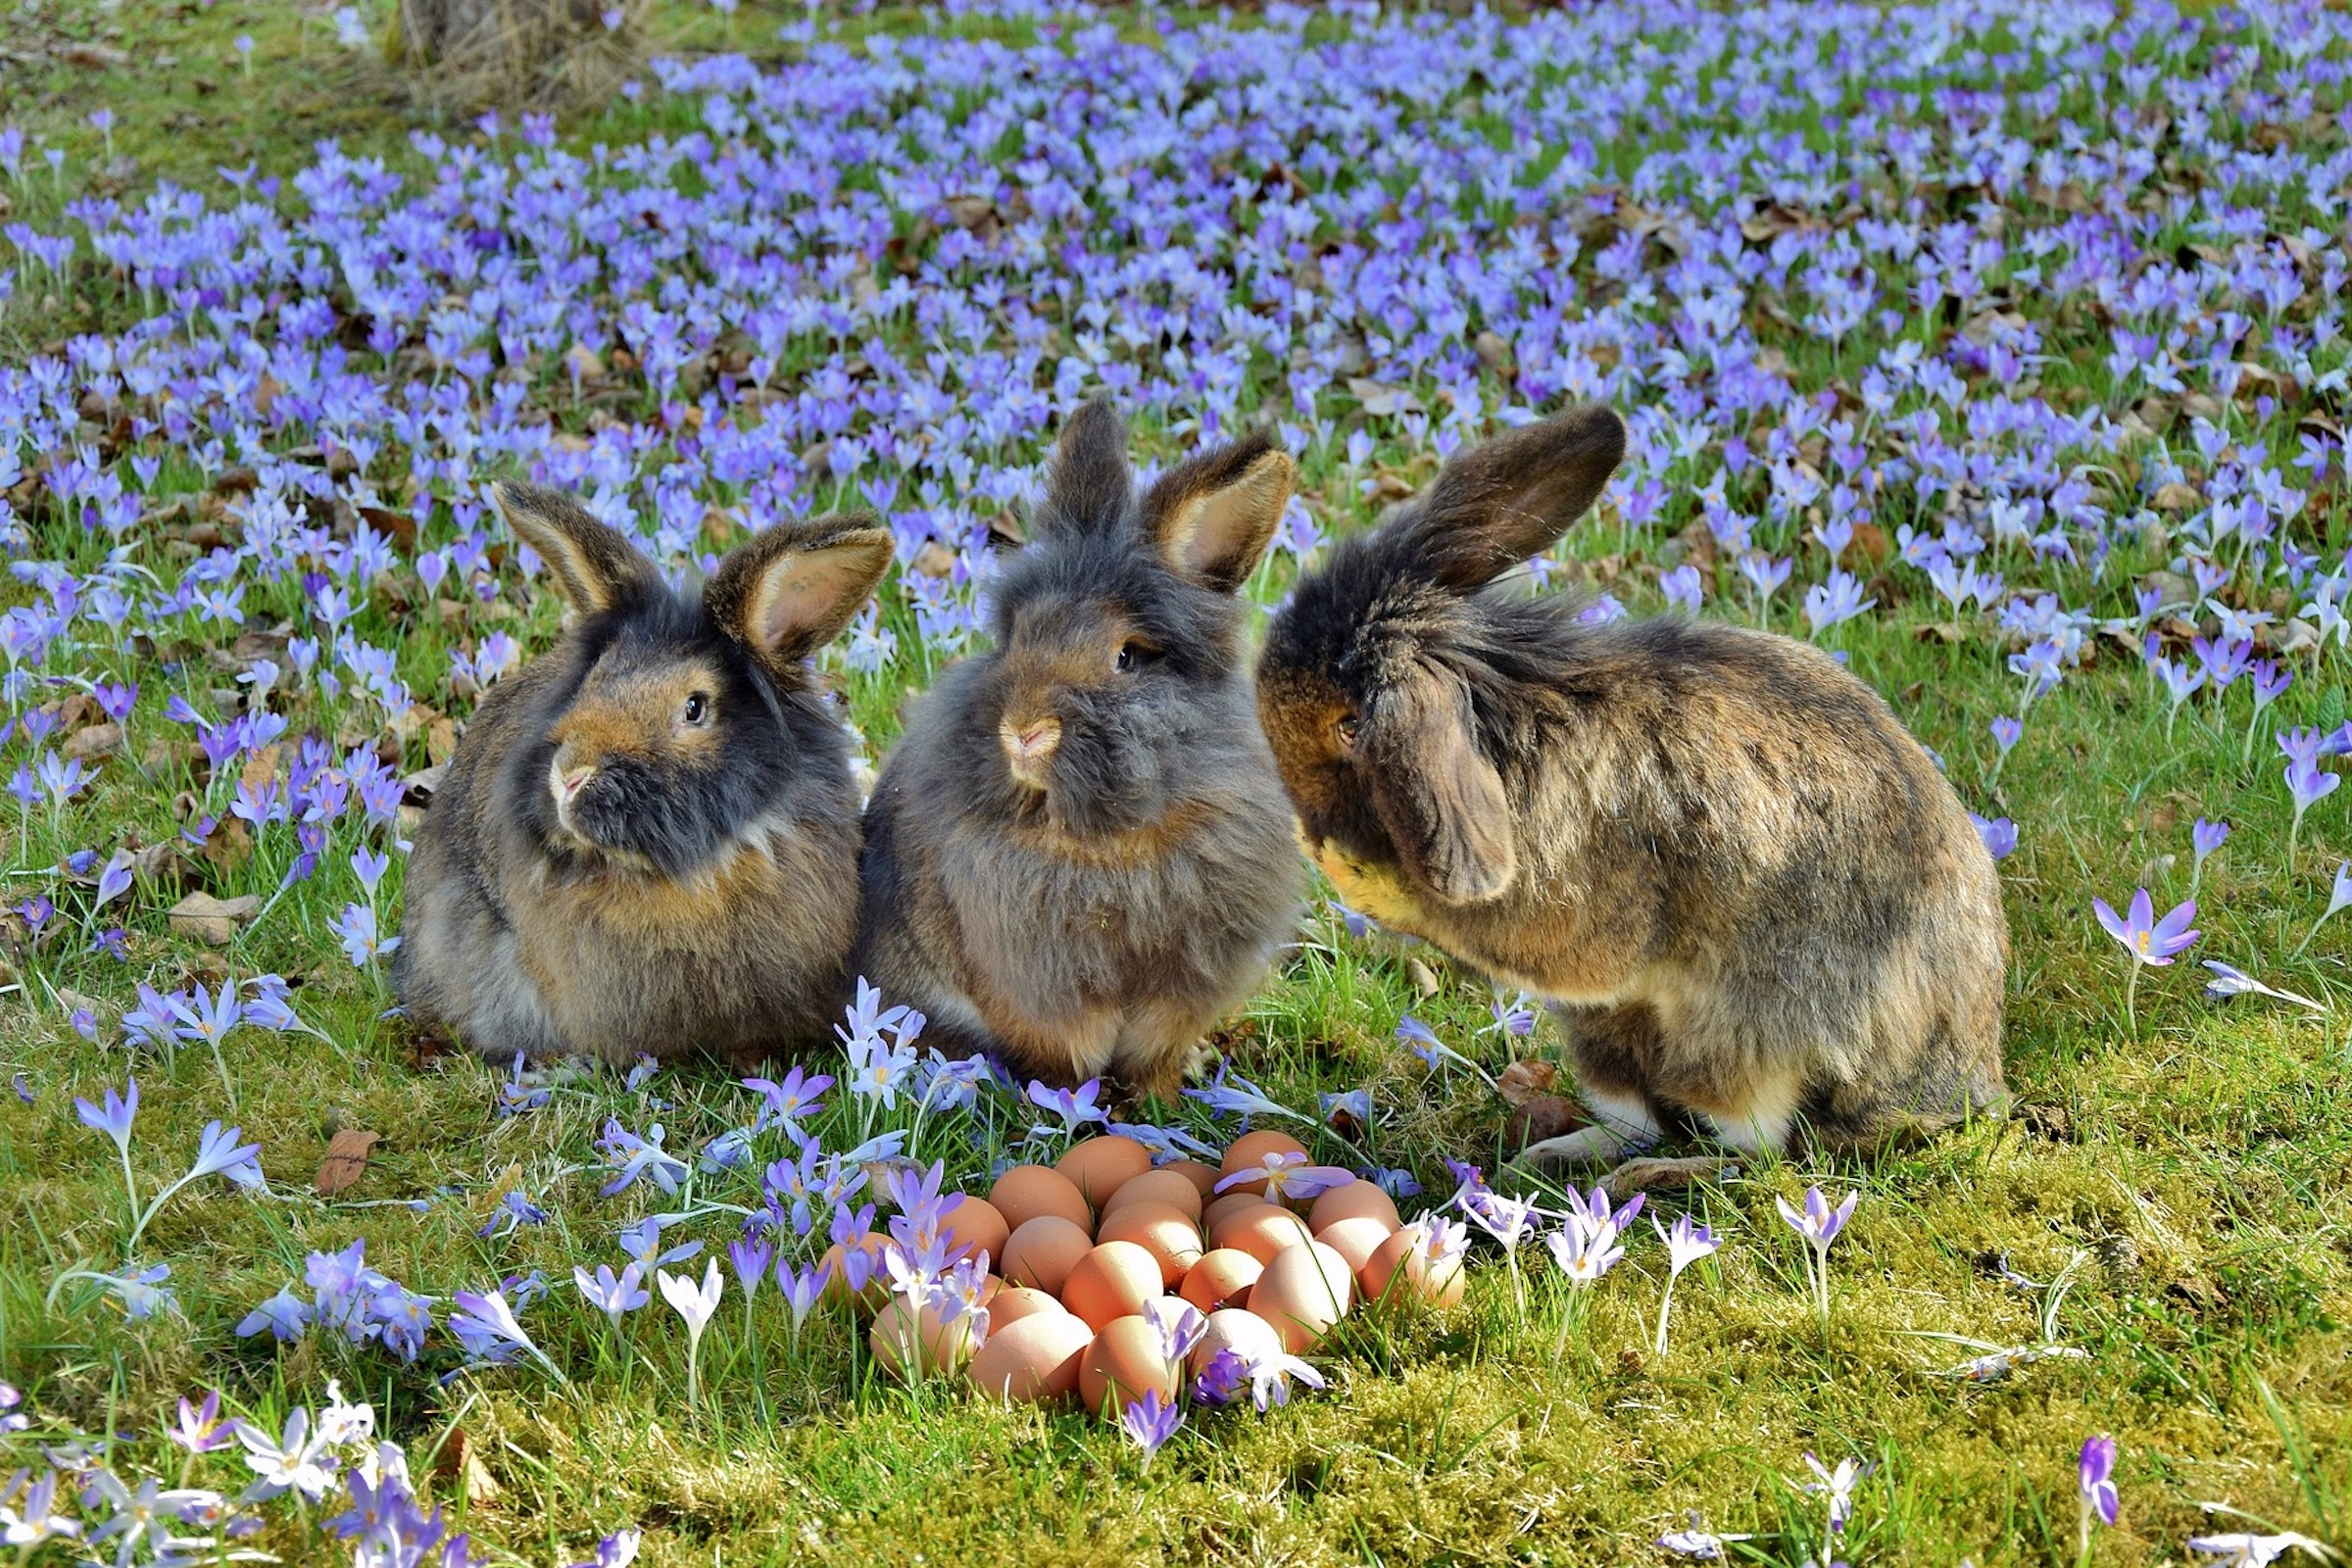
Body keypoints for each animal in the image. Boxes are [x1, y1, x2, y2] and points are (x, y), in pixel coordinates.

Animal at [854, 399, 1304, 1101]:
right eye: (1017, 635)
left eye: (1127, 657)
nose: (1023, 730)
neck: (1111, 836)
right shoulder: (1034, 986)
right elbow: (1067, 1050)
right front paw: (1071, 1102)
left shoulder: (1183, 988)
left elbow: (1154, 1052)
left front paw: (1158, 1099)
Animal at [1255, 403, 2009, 1190]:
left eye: (1348, 726)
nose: (1309, 828)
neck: (1504, 722)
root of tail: (1954, 1090)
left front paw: (1357, 876)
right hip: (1605, 1036)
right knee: (1637, 1118)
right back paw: (1553, 1157)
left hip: (1740, 1043)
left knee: (1753, 1152)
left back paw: (1643, 1177)